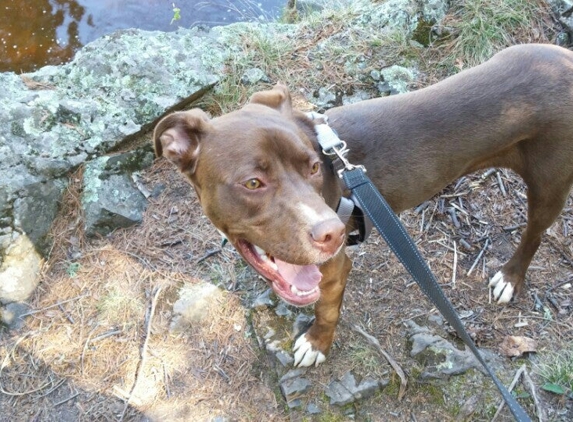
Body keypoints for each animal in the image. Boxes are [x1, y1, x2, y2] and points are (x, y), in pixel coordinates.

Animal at [154, 42, 572, 366]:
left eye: (312, 167)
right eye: (253, 183)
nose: (333, 234)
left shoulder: (335, 268)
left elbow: (326, 311)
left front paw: (316, 344)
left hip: (550, 184)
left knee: (535, 233)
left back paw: (510, 278)